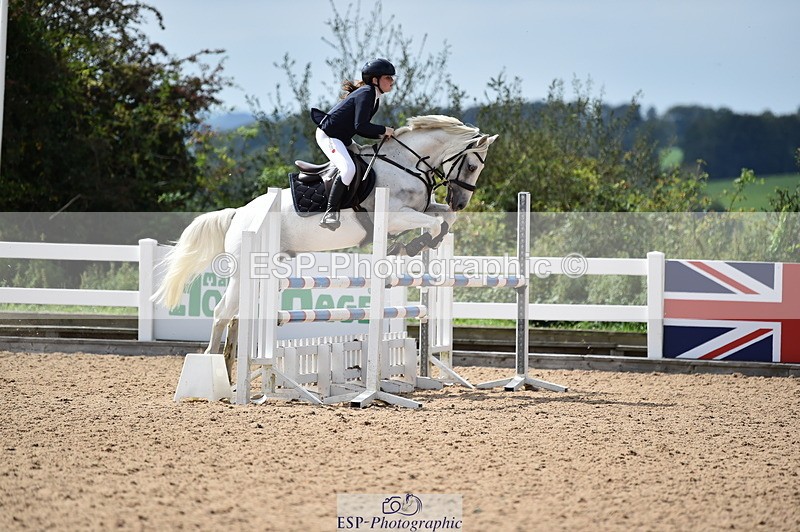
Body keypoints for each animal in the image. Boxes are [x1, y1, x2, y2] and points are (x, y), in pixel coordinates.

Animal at [153, 115, 498, 362]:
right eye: (470, 165)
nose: (460, 201)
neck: (406, 165)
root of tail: (239, 215)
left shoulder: (421, 208)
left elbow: (443, 219)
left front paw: (422, 242)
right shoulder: (395, 216)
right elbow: (432, 222)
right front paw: (411, 245)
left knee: (236, 313)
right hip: (243, 271)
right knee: (222, 312)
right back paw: (212, 367)